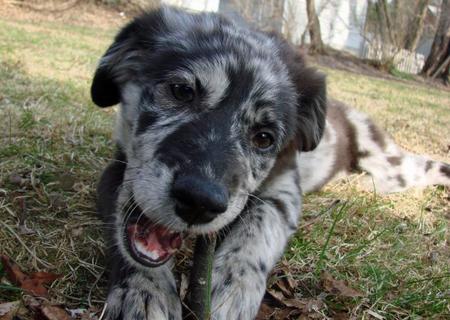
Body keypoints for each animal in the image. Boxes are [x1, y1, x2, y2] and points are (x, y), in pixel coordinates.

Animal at [91, 5, 450, 320]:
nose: (199, 202)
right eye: (181, 91)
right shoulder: (118, 169)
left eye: (264, 137)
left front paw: (233, 289)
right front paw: (143, 290)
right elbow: (124, 225)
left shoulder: (284, 188)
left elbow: (260, 225)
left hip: (392, 166)